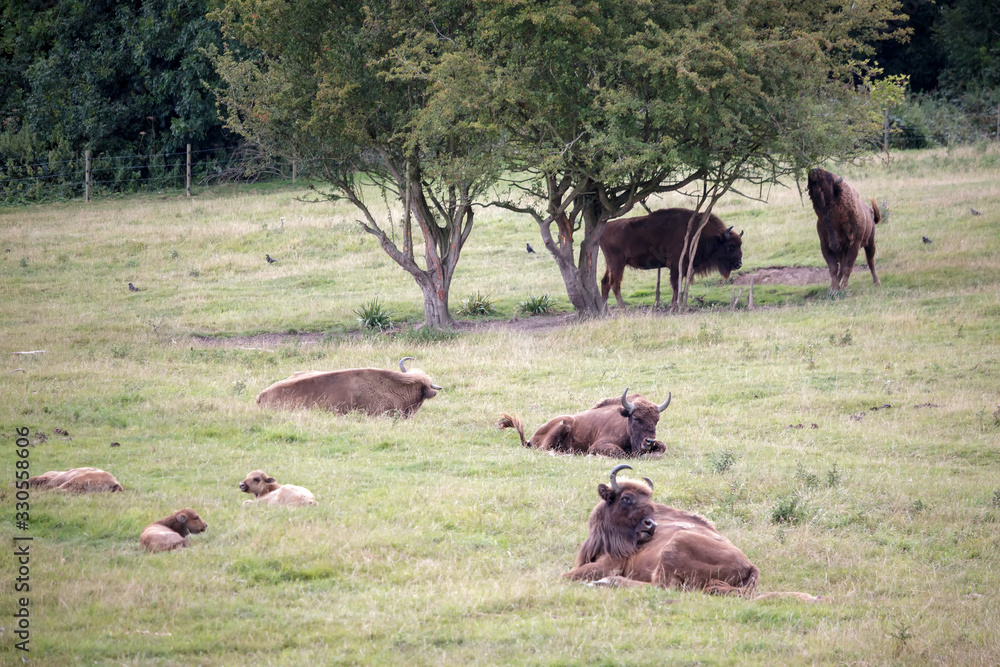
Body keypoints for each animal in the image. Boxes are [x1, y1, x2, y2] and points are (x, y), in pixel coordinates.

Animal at [498, 388, 670, 458]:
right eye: (636, 418)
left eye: (656, 420)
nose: (649, 441)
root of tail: (531, 438)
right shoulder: (598, 445)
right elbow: (620, 453)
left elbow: (663, 446)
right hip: (565, 422)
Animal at [600, 208, 743, 308]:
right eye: (731, 246)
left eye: (740, 244)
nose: (739, 264)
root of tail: (606, 228)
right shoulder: (676, 265)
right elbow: (675, 284)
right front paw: (674, 305)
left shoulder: (683, 267)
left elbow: (678, 284)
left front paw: (675, 304)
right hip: (618, 263)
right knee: (614, 283)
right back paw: (623, 308)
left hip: (610, 264)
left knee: (605, 282)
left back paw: (604, 310)